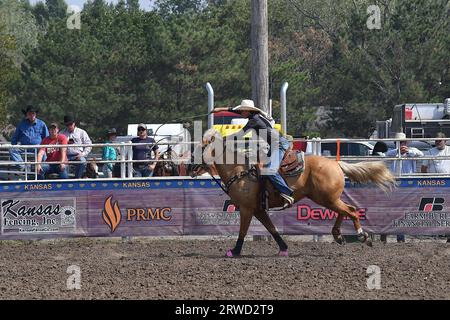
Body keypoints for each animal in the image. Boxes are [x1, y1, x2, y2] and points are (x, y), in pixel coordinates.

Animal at [192, 129, 396, 258]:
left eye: (201, 148)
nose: (191, 166)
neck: (240, 171)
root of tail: (336, 163)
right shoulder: (259, 210)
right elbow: (272, 229)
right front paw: (283, 248)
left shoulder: (246, 208)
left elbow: (242, 231)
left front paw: (234, 252)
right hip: (328, 199)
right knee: (347, 210)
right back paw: (338, 235)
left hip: (327, 199)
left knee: (351, 211)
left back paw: (362, 236)